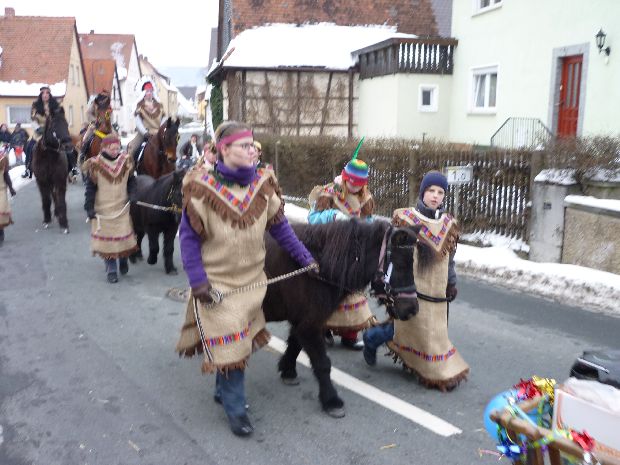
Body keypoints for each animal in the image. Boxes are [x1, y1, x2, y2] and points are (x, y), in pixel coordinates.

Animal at [262, 218, 422, 416]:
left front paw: (288, 371)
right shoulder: (311, 324)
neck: (318, 267)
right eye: (400, 265)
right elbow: (322, 363)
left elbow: (295, 344)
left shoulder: (303, 319)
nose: (412, 309)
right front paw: (331, 401)